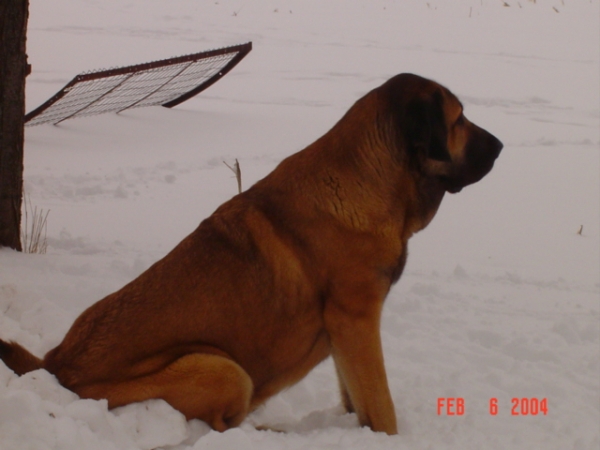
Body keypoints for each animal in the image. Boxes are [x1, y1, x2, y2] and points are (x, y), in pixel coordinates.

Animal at [0, 74, 502, 436]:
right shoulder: (356, 318)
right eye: (459, 119)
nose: (499, 146)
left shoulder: (345, 331)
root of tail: (55, 366)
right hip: (224, 369)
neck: (371, 180)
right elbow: (380, 406)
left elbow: (355, 397)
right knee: (216, 425)